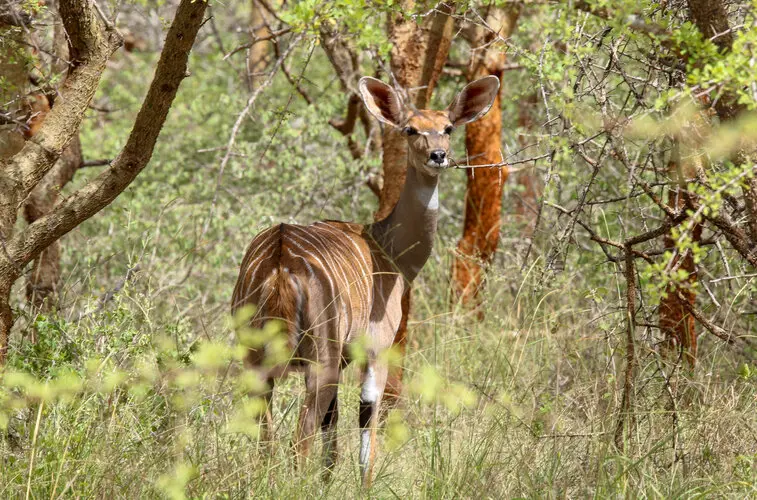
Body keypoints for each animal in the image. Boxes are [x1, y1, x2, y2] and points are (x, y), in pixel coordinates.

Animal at [233, 74, 500, 484]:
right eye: (410, 129)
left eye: (448, 127)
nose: (438, 156)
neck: (387, 248)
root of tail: (280, 260)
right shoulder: (375, 349)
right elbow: (366, 421)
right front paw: (365, 485)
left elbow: (333, 429)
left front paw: (326, 484)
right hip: (319, 360)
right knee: (300, 436)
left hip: (255, 359)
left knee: (268, 435)